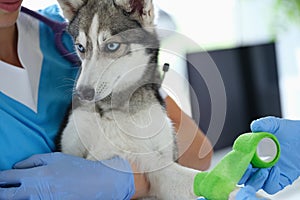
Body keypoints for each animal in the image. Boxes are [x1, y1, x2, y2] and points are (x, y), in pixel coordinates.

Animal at [56, 0, 202, 199]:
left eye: (112, 46)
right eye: (80, 48)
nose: (83, 93)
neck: (111, 110)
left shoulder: (153, 161)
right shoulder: (71, 148)